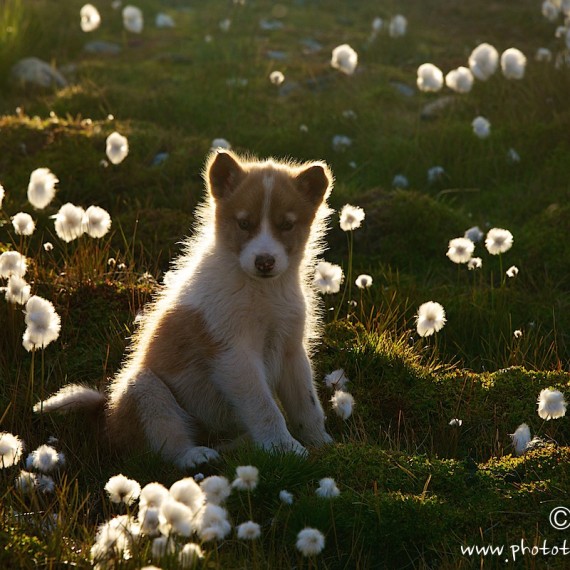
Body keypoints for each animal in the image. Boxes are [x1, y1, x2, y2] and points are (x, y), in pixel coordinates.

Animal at [36, 150, 332, 466]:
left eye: (286, 225)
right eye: (244, 224)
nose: (264, 262)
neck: (263, 292)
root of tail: (107, 414)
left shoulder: (291, 349)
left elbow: (307, 405)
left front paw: (322, 443)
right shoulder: (234, 353)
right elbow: (264, 407)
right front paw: (284, 447)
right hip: (145, 388)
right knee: (167, 444)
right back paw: (196, 455)